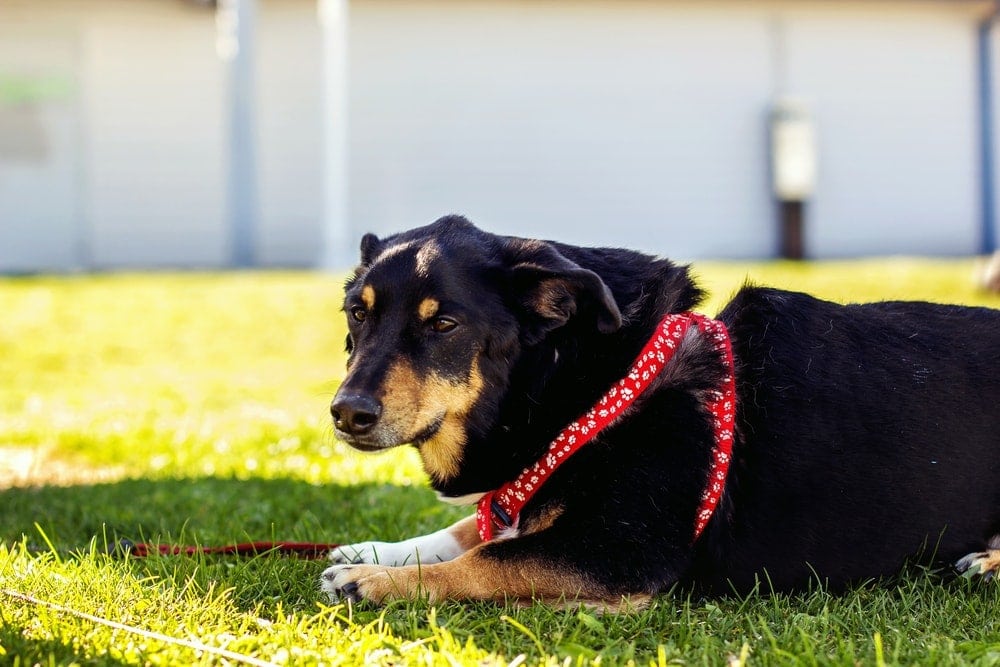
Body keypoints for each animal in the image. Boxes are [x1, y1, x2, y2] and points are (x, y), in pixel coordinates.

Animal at [322, 217, 1000, 608]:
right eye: (358, 312)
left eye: (444, 324)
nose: (346, 413)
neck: (593, 386)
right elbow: (468, 531)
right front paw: (376, 552)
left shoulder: (620, 551)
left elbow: (491, 558)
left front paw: (378, 584)